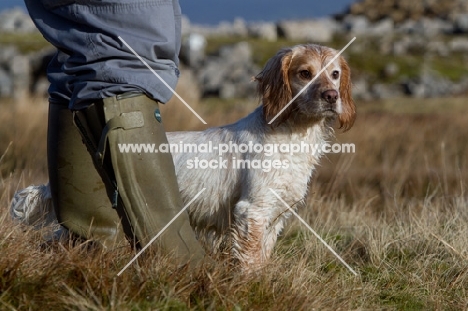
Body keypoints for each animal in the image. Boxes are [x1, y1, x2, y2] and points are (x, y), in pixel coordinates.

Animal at [11, 44, 354, 270]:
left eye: (335, 74)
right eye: (305, 73)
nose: (331, 96)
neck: (291, 133)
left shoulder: (275, 217)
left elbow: (261, 257)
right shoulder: (252, 211)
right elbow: (249, 263)